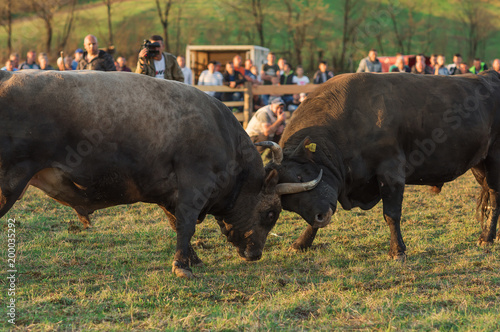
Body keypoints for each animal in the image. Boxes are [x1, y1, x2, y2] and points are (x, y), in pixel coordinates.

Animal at [270, 70, 500, 260]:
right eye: (288, 204)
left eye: (301, 176)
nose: (320, 216)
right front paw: (301, 243)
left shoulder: (391, 172)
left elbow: (391, 214)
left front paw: (397, 251)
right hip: (479, 165)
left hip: (494, 161)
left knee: (495, 198)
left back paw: (487, 238)